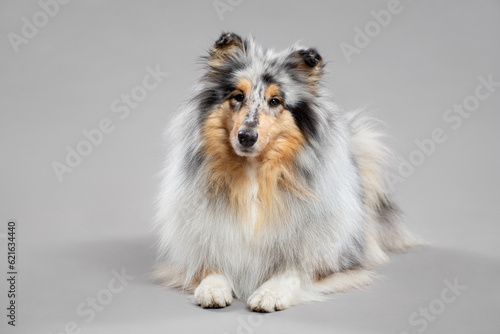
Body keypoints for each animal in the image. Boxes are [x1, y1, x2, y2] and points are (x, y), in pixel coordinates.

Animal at [153, 32, 422, 312]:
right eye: (238, 96)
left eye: (275, 101)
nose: (246, 137)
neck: (254, 174)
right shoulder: (200, 244)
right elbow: (209, 266)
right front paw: (212, 289)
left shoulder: (325, 259)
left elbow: (292, 270)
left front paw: (268, 294)